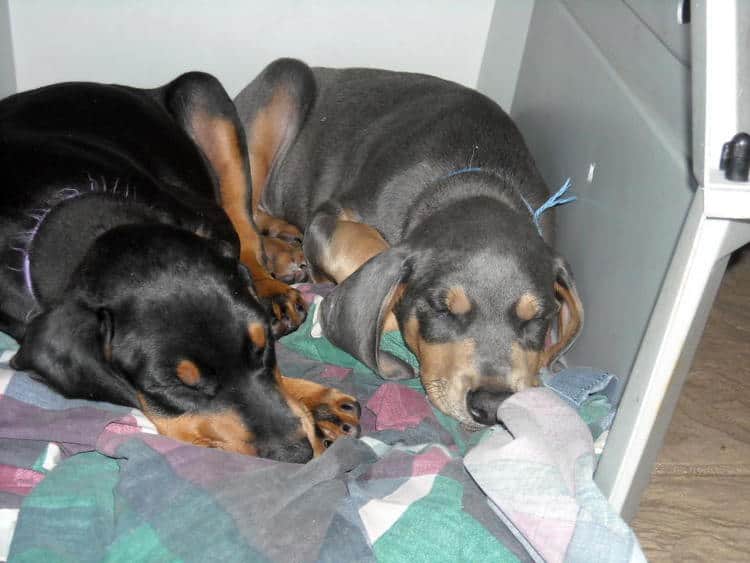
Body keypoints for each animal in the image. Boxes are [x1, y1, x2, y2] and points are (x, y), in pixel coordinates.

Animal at [0, 72, 362, 460]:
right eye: (177, 388)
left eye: (264, 346)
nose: (297, 454)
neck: (66, 215)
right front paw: (318, 408)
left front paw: (318, 405)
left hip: (201, 93)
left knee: (246, 217)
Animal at [234, 59, 580, 430]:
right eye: (442, 310)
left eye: (539, 317)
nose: (490, 406)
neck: (477, 178)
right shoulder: (331, 215)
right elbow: (366, 245)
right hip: (286, 80)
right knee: (241, 214)